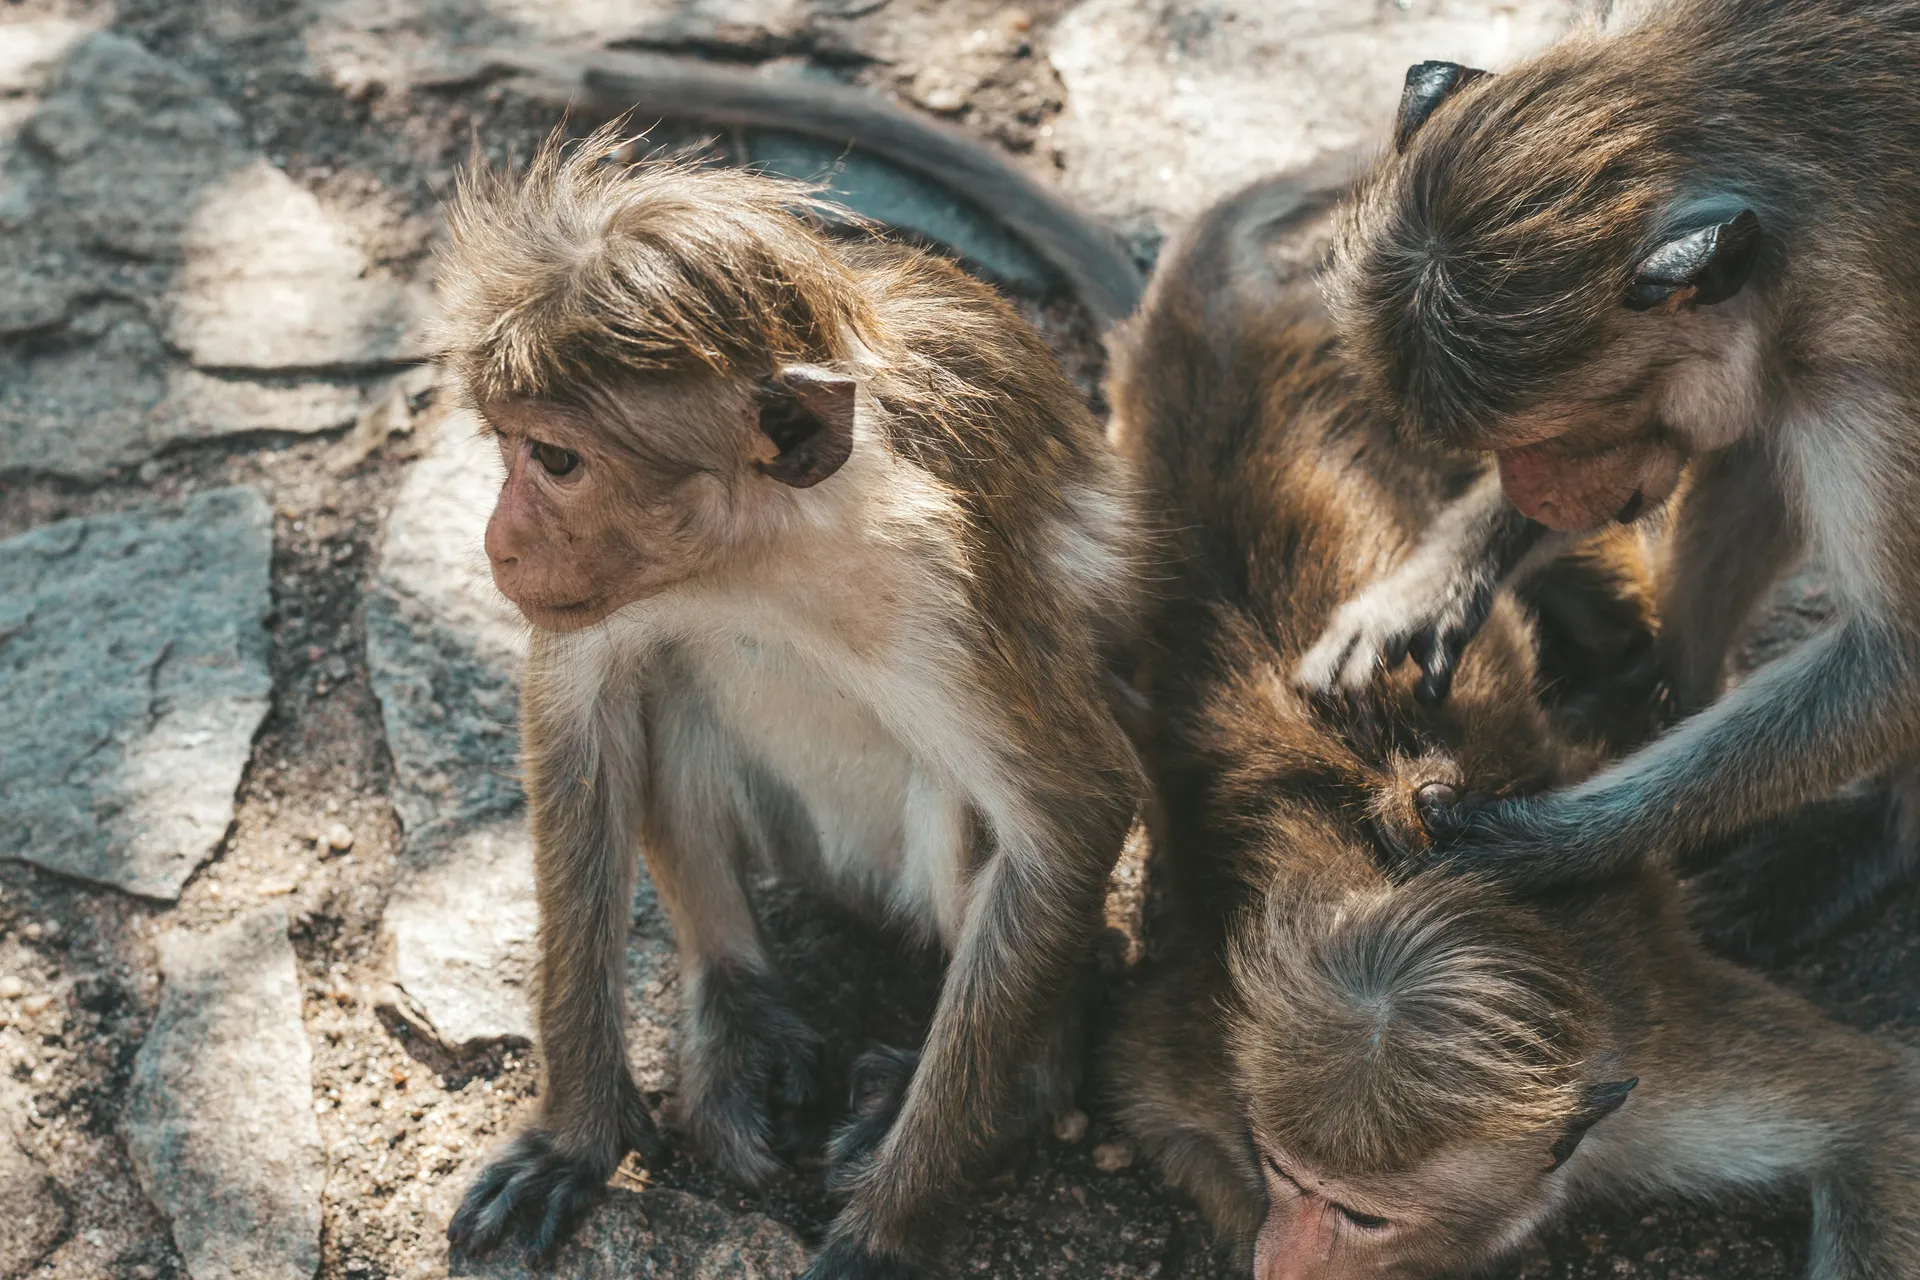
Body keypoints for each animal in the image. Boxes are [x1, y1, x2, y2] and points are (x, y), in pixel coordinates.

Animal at [437, 132, 1144, 1280]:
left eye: (555, 459)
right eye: (507, 446)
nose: (499, 540)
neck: (759, 558)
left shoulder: (948, 583)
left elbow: (1070, 815)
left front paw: (888, 1230)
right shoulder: (616, 590)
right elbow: (579, 717)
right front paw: (575, 1134)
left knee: (969, 815)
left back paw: (1001, 1088)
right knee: (671, 694)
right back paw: (740, 1011)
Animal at [1105, 167, 1920, 1280]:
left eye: (1360, 1213)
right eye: (1279, 1171)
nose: (1284, 1262)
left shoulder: (1668, 1069)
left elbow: (1877, 1116)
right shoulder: (1220, 1053)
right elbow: (1148, 1096)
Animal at [1282, 2, 1920, 951]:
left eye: (1558, 434)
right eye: (1507, 448)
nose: (1532, 496)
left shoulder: (1869, 368)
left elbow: (1897, 656)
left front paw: (1545, 844)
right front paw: (1436, 582)